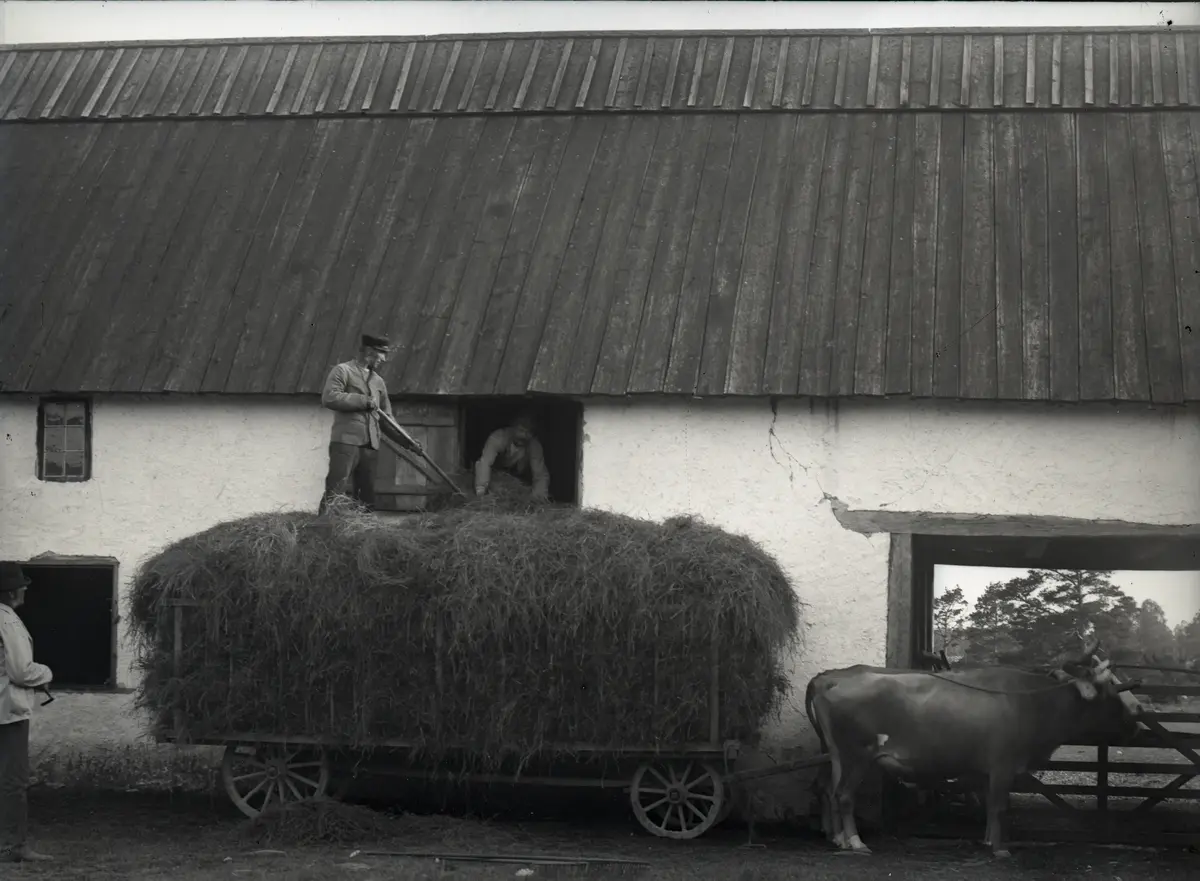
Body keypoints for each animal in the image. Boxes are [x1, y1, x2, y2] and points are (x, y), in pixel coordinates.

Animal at [805, 638, 1142, 859]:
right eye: (1112, 690)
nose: (1137, 716)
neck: (1033, 701)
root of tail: (832, 680)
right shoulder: (1003, 766)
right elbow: (999, 806)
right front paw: (1000, 849)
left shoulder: (985, 771)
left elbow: (988, 806)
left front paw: (987, 841)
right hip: (857, 755)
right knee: (843, 795)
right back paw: (855, 842)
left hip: (837, 757)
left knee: (830, 790)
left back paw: (839, 838)